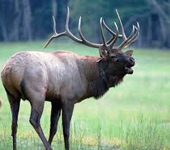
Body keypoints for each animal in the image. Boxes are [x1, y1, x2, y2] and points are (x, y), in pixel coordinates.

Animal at [0, 7, 139, 150]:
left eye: (123, 53)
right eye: (113, 56)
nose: (132, 60)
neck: (87, 78)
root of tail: (9, 70)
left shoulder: (56, 100)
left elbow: (53, 128)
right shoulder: (68, 98)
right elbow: (66, 130)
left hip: (11, 94)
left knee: (14, 124)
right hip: (37, 93)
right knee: (34, 120)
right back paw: (48, 147)